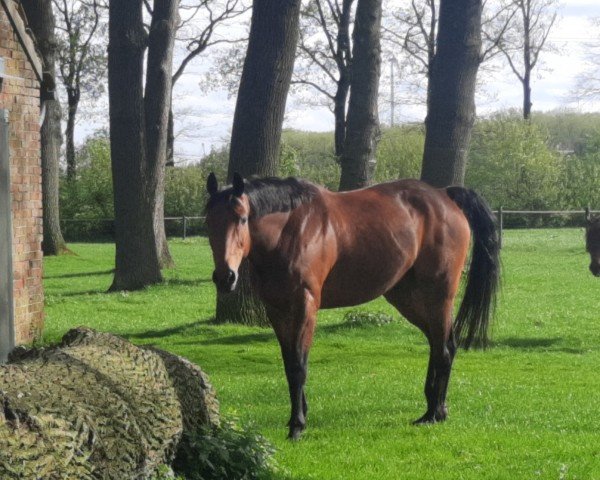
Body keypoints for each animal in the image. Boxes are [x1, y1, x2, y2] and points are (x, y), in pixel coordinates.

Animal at [204, 172, 500, 438]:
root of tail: (444, 195)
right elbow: (289, 364)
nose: (225, 277)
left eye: (242, 218)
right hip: (408, 298)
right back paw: (432, 410)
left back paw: (435, 413)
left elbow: (299, 366)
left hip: (438, 296)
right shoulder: (277, 310)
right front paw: (299, 416)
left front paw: (297, 426)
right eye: (208, 221)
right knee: (438, 345)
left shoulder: (304, 306)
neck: (291, 230)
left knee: (445, 349)